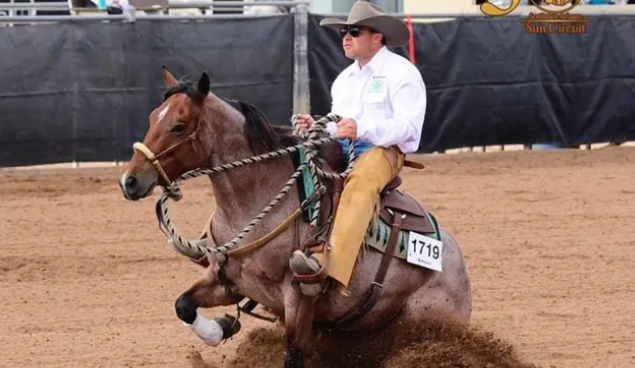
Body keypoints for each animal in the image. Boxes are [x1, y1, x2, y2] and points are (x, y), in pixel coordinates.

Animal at [118, 67, 472, 368]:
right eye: (153, 118)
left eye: (179, 126)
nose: (129, 180)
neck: (253, 202)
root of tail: (457, 263)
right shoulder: (230, 282)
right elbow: (183, 304)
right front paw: (219, 329)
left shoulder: (298, 297)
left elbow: (293, 355)